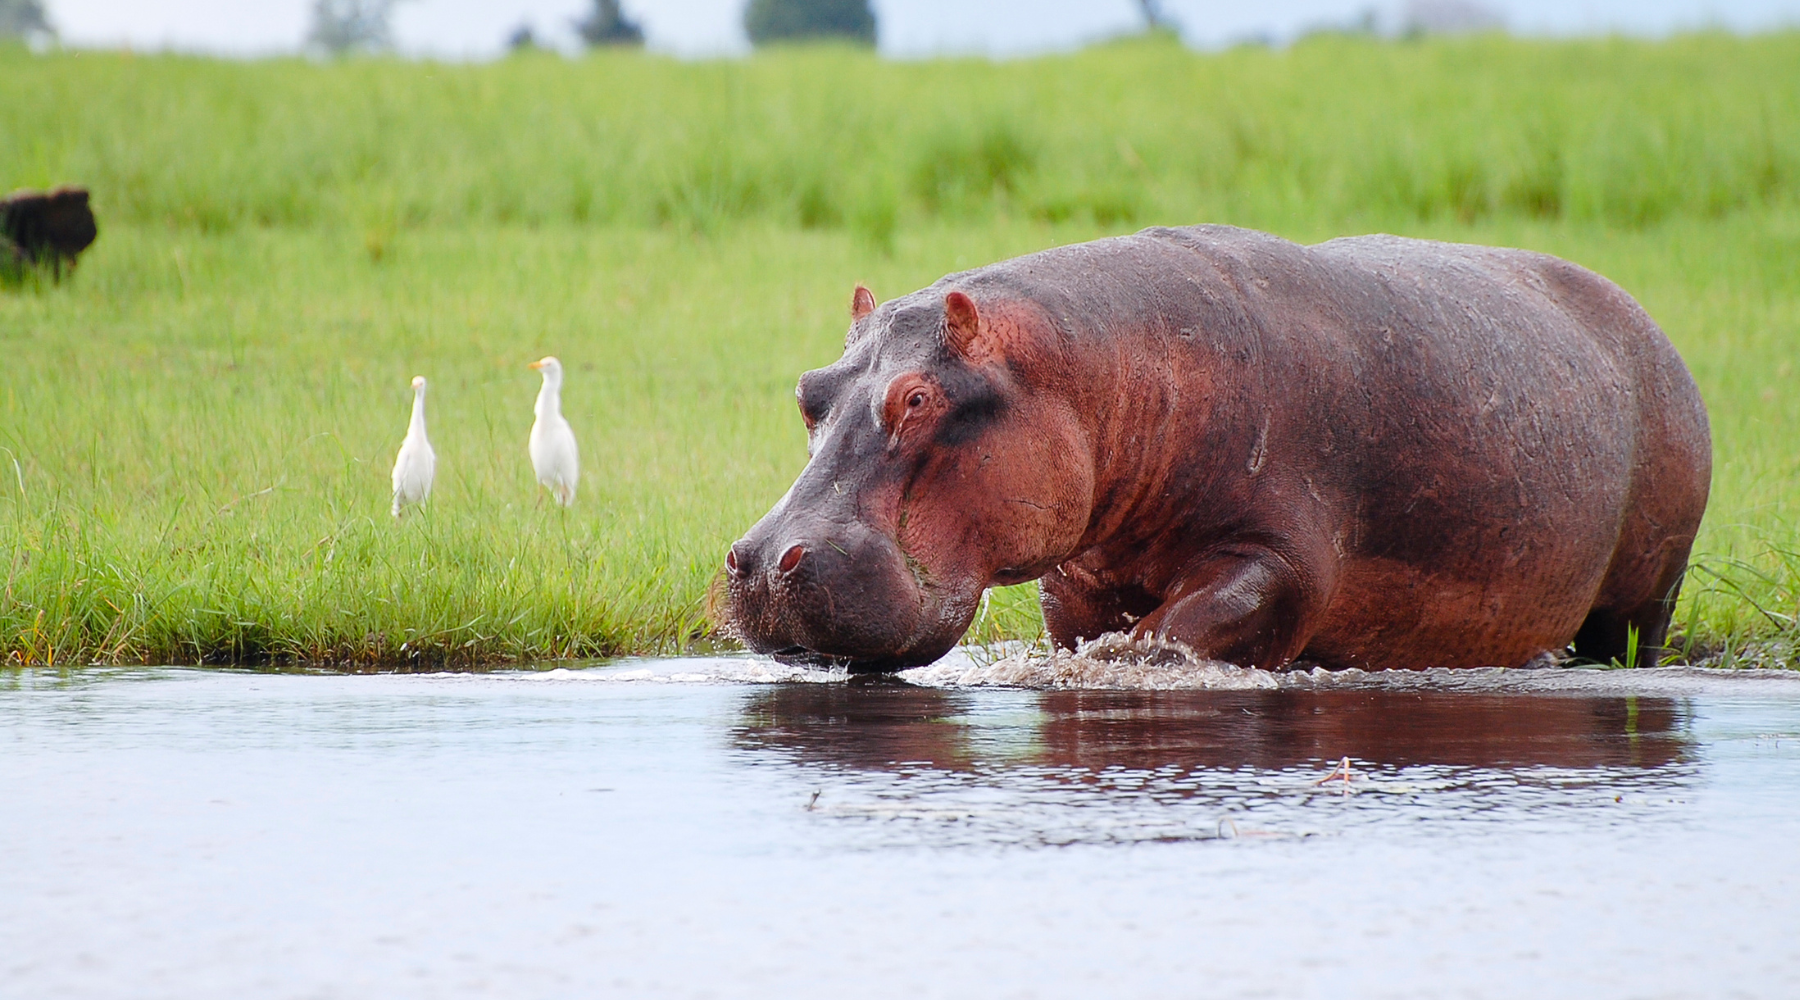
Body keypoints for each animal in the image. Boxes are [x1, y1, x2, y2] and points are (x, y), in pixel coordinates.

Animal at [720, 224, 1713, 672]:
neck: (1105, 370)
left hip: (1648, 585)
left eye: (918, 397)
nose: (766, 561)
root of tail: (1646, 319)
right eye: (808, 391)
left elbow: (1189, 624)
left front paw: (1130, 662)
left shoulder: (1283, 554)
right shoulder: (1075, 577)